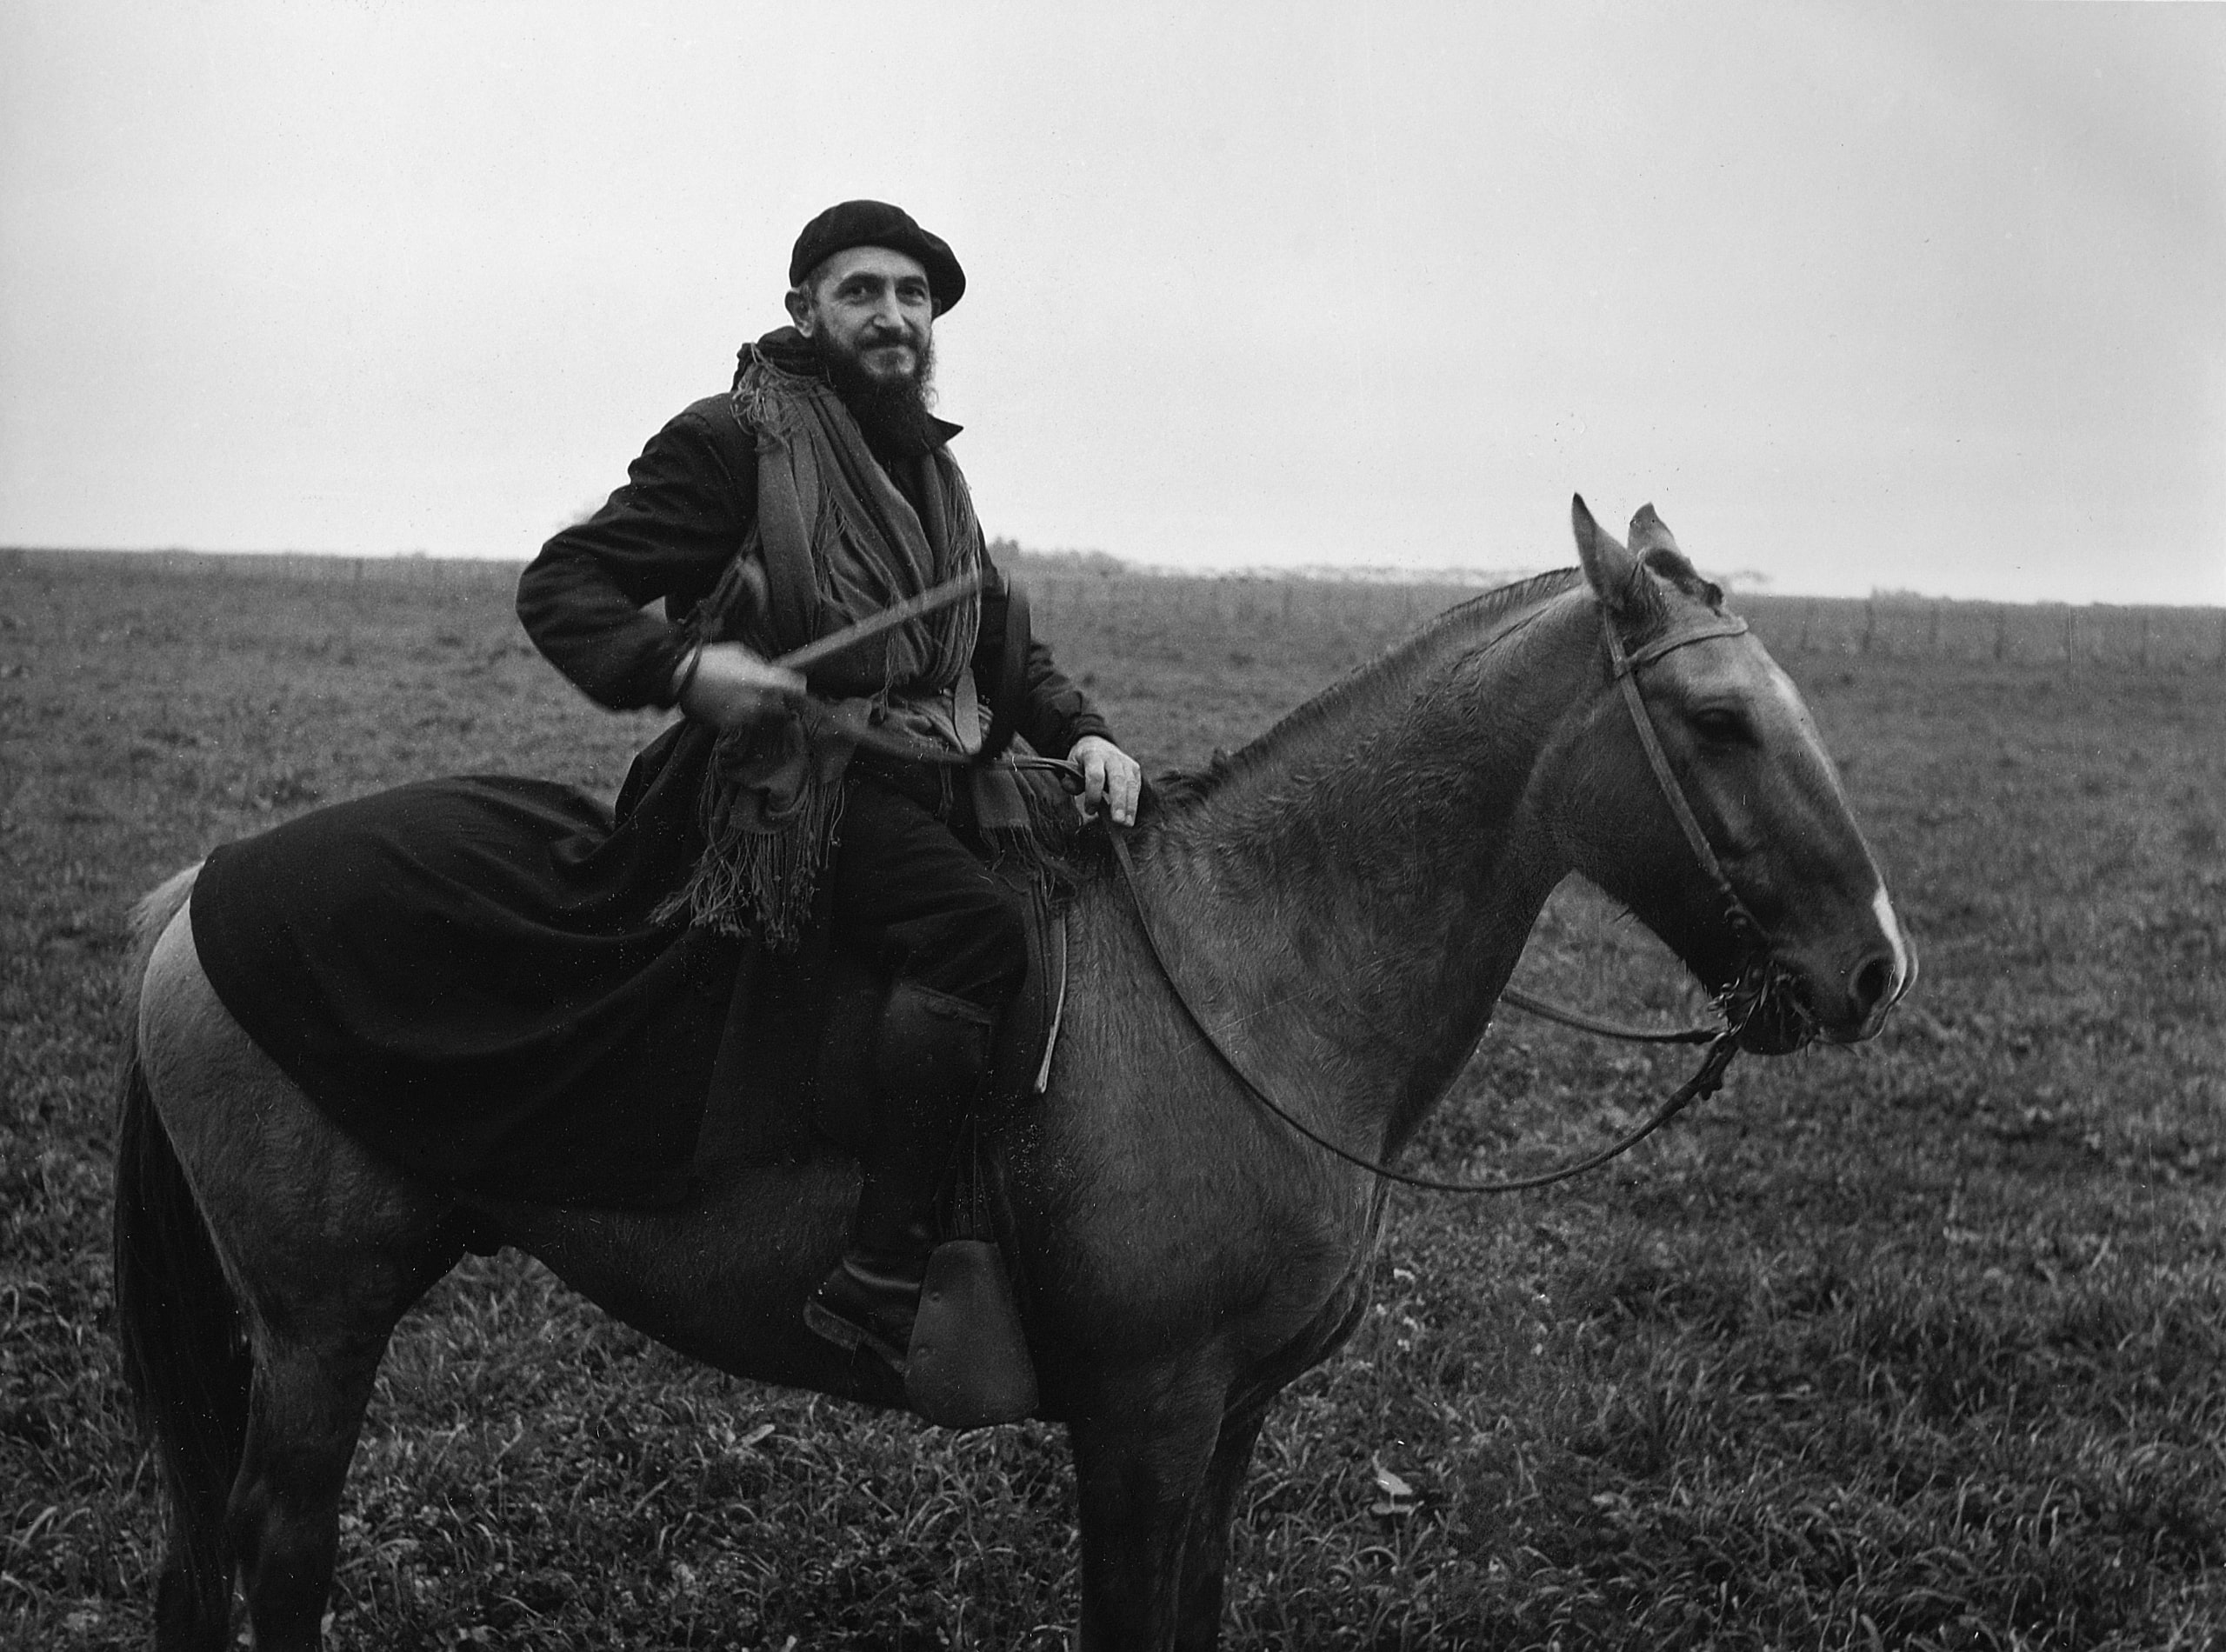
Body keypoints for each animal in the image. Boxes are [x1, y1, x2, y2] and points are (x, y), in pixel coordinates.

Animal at [108, 498, 1914, 1647]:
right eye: (1720, 720)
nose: (1875, 967)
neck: (1252, 967)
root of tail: (194, 889)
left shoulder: (1227, 1424)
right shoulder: (1139, 1422)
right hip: (325, 1324)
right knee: (279, 1555)